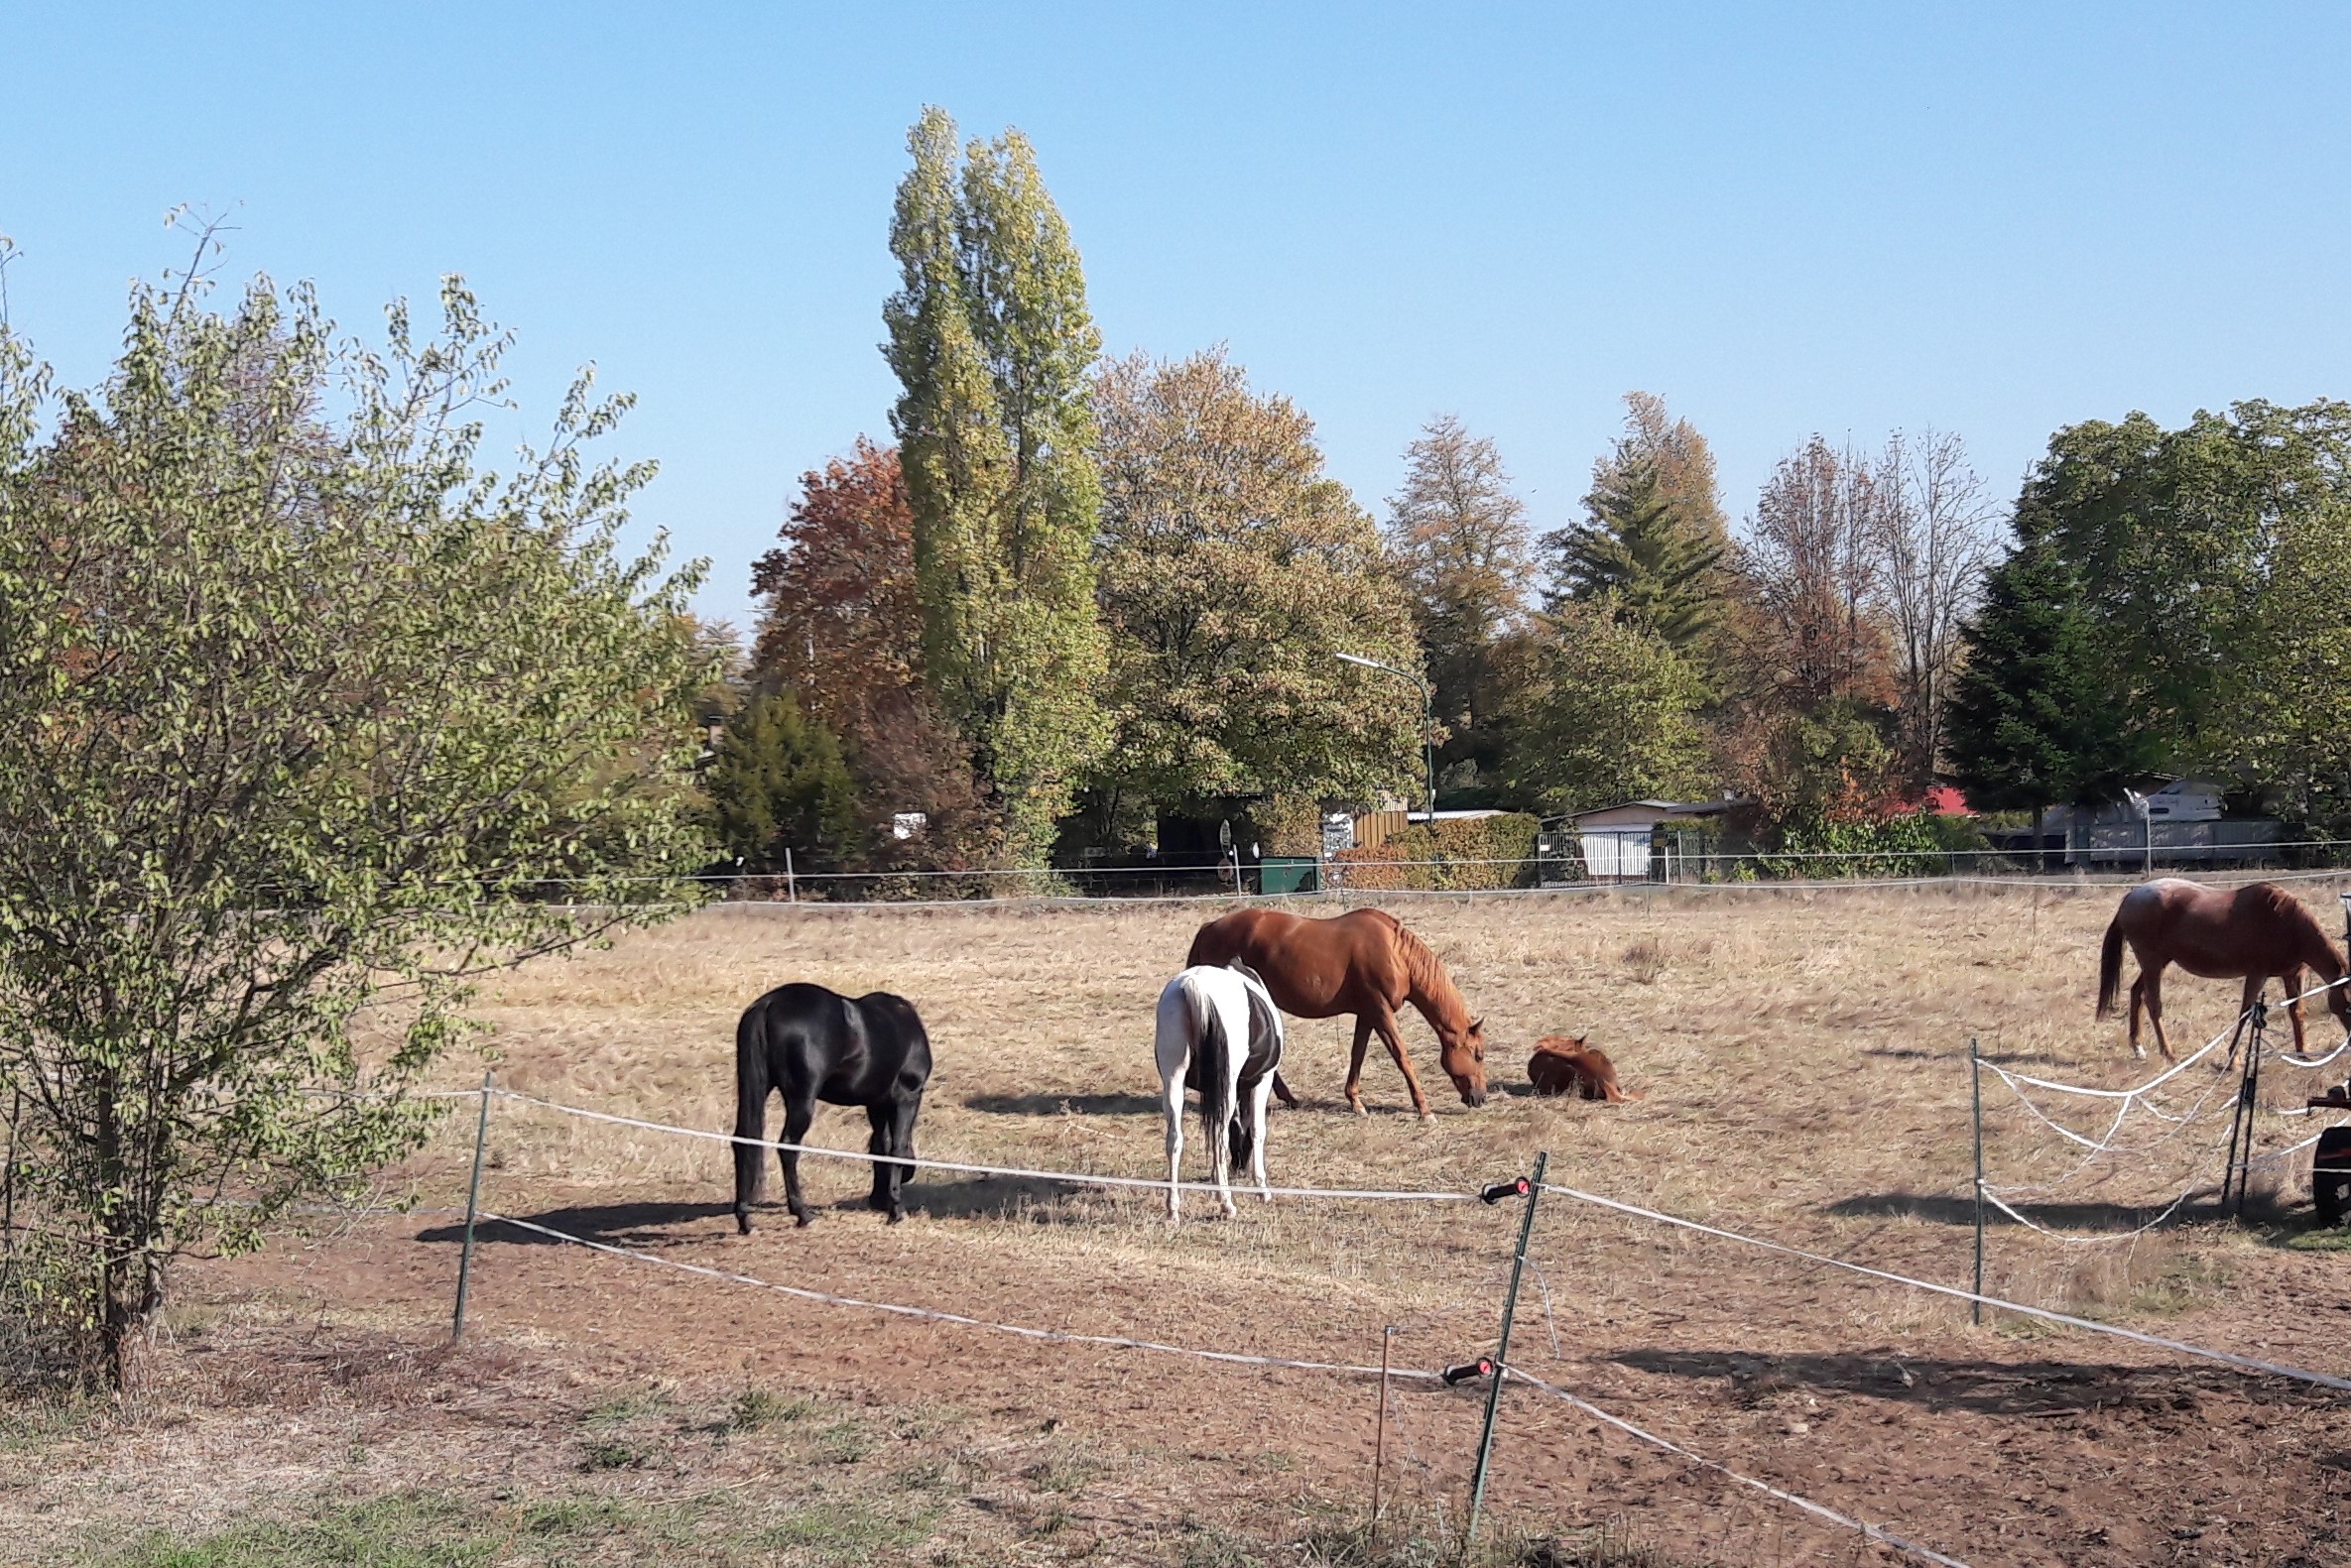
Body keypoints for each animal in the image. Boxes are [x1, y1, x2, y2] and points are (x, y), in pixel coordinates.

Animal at [728, 982, 930, 1241]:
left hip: (758, 1088)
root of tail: (769, 1004)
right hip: (801, 1099)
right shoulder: (907, 1097)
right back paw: (803, 1214)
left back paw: (744, 1218)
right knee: (788, 1147)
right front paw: (896, 1210)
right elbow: (896, 1149)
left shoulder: (876, 1103)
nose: (879, 1200)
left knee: (743, 1141)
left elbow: (879, 1146)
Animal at [1184, 906, 1495, 1114]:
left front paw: (1356, 1102)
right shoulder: (1381, 1012)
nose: (1480, 1098)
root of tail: (1209, 928)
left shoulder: (1367, 1014)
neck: (1394, 952)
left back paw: (1287, 1097)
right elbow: (1402, 1057)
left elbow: (1357, 1055)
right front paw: (1424, 1110)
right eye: (1478, 1055)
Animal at [2097, 884, 2351, 1067]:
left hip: (2158, 963)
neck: (2285, 922)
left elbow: (2296, 1012)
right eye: (2348, 1006)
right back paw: (2169, 1054)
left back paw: (2138, 1047)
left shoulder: (2293, 976)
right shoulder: (2257, 975)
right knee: (2153, 1004)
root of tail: (2131, 896)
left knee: (2136, 993)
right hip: (2152, 963)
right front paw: (2233, 1059)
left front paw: (2303, 1053)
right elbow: (2246, 1013)